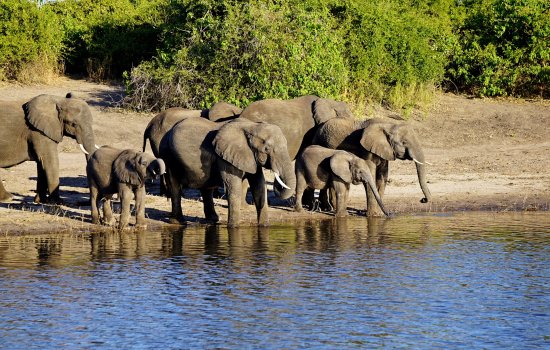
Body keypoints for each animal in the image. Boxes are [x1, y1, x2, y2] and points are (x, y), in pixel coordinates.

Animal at [161, 117, 298, 227]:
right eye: (266, 149)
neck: (251, 126)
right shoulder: (225, 157)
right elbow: (234, 188)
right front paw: (233, 227)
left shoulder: (249, 157)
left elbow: (259, 186)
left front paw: (264, 226)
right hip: (168, 155)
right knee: (175, 186)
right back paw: (178, 222)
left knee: (206, 188)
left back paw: (213, 220)